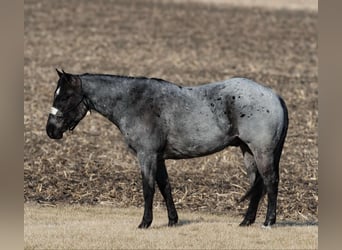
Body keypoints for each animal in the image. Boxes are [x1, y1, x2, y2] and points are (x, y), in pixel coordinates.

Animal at [45, 70, 288, 229]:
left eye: (65, 96)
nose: (51, 130)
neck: (134, 101)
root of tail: (274, 95)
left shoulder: (147, 155)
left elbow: (148, 188)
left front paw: (145, 222)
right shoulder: (159, 158)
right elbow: (165, 186)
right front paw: (172, 220)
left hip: (262, 152)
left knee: (270, 182)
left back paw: (268, 221)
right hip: (248, 151)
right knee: (257, 184)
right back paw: (246, 221)